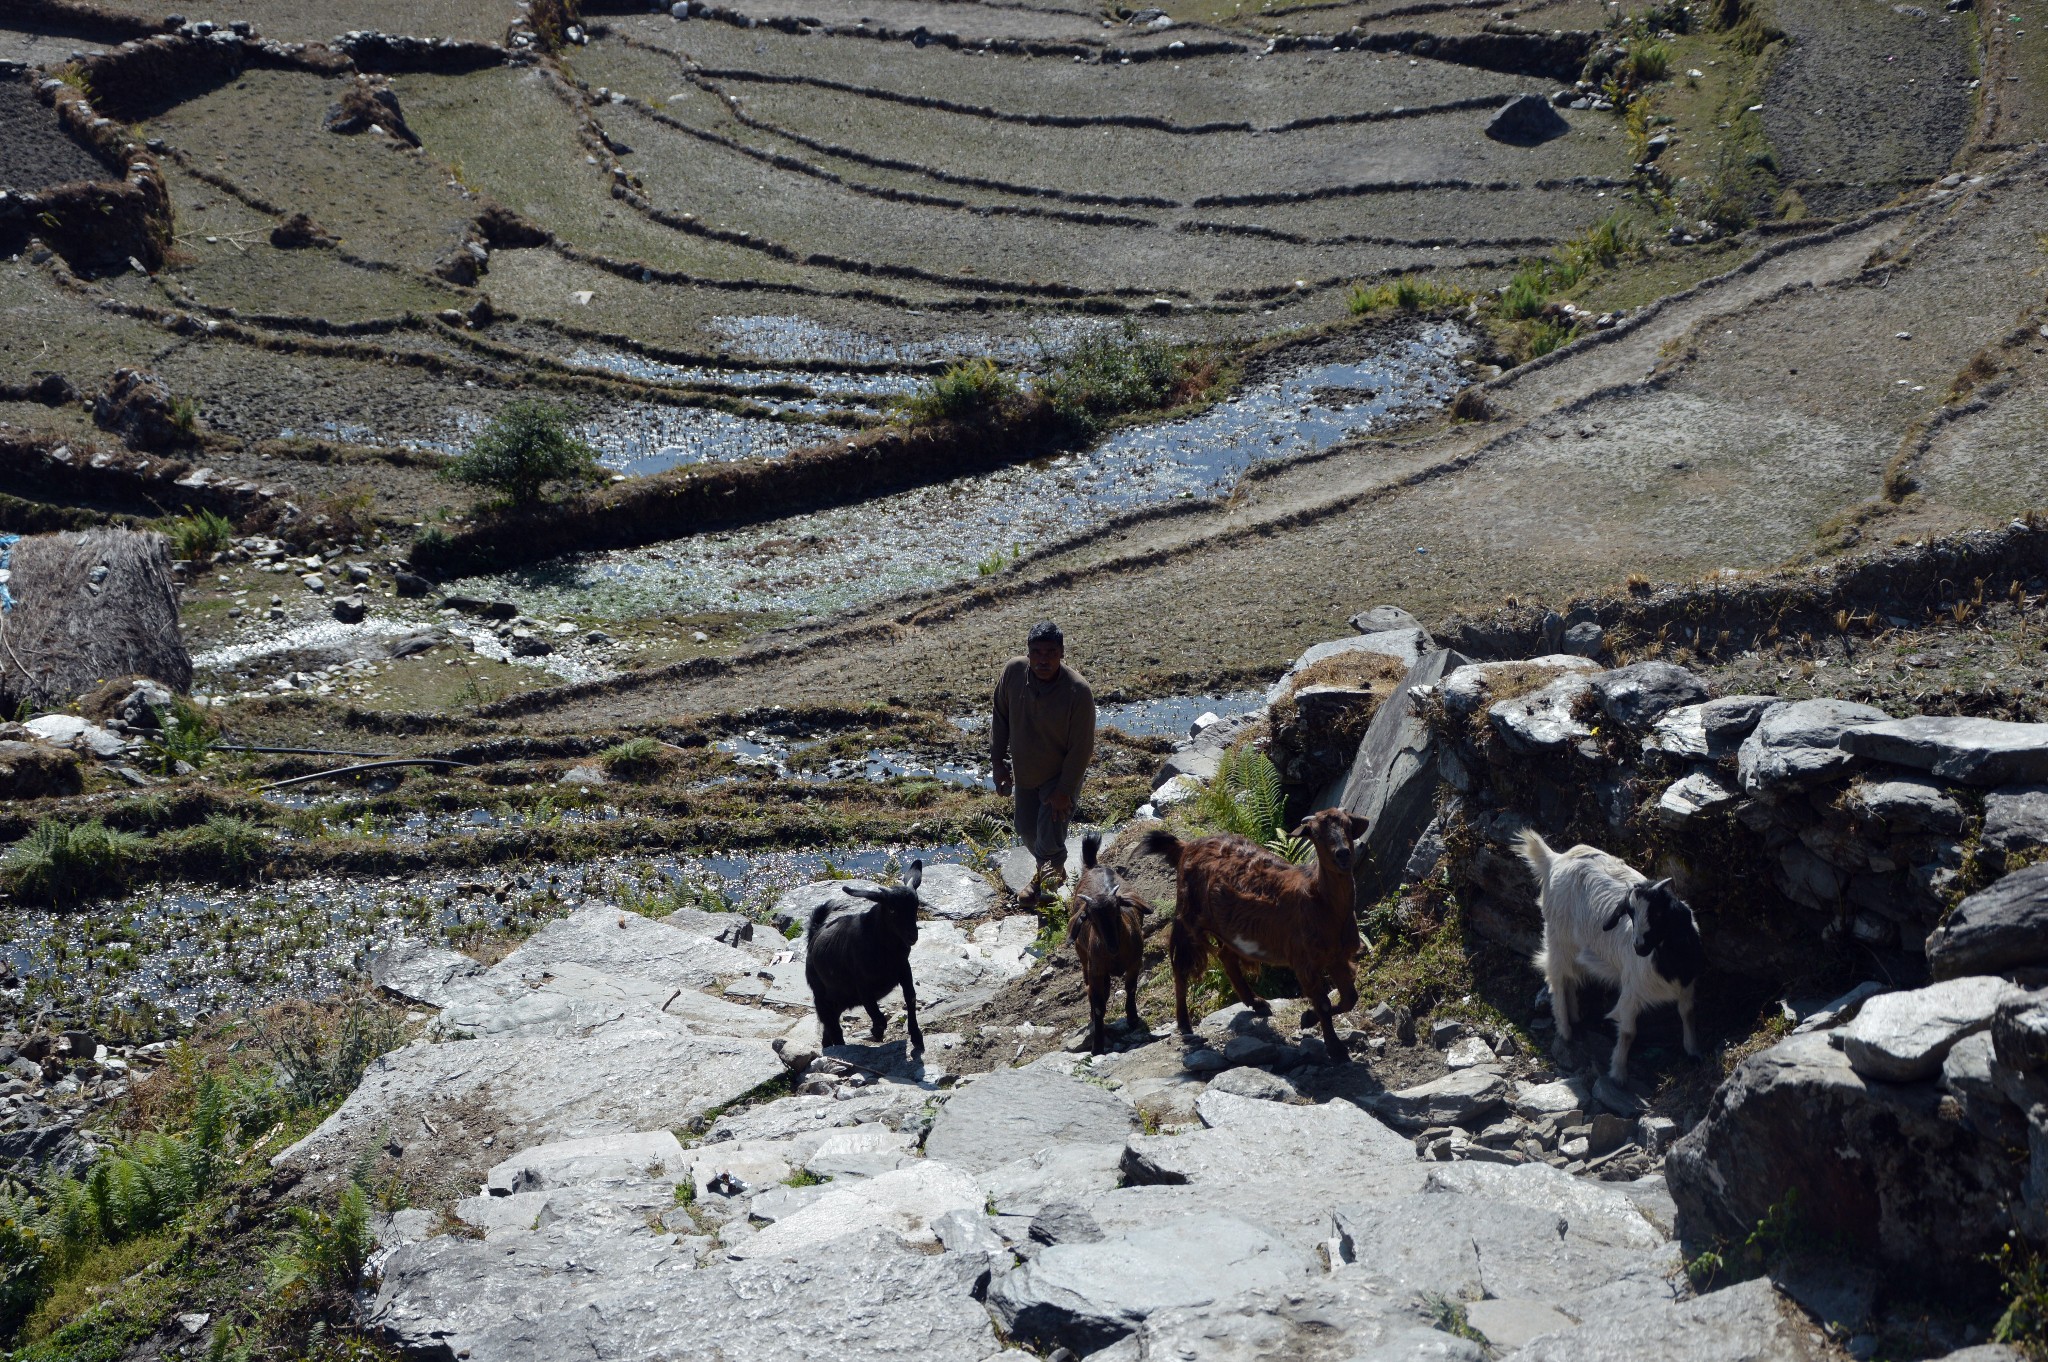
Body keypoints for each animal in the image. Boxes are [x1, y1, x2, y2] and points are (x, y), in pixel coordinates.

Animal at [802, 860, 925, 1048]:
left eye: (916, 906)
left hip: (840, 998)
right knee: (832, 1025)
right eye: (892, 910)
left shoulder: (904, 969)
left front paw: (916, 1036)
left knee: (829, 1027)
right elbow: (878, 1016)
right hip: (822, 994)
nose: (912, 936)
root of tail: (814, 934)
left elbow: (910, 998)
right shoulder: (863, 985)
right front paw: (876, 1032)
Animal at [1073, 827, 1155, 1048]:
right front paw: (1097, 1045)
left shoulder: (1135, 962)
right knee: (1091, 988)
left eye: (1118, 910)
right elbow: (1099, 1005)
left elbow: (1131, 987)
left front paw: (1133, 1018)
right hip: (1084, 958)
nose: (1112, 946)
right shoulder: (1096, 970)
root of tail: (1094, 865)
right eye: (1090, 918)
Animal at [1146, 806, 1368, 1065]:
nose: (1342, 854)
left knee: (1226, 957)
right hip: (1188, 915)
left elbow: (1350, 998)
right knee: (1181, 966)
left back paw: (1256, 1003)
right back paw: (1184, 1023)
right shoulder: (1304, 961)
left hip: (1225, 929)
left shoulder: (1338, 957)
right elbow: (1323, 1003)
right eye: (1315, 834)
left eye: (1348, 827)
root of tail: (1186, 846)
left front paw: (1307, 1018)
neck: (1320, 902)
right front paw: (1336, 1048)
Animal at [1515, 827, 1703, 1081]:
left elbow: (1688, 1012)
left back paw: (1576, 1018)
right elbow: (1628, 1032)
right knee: (1557, 979)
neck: (1668, 961)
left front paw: (1693, 1051)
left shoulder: (1687, 984)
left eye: (1657, 913)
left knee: (1570, 977)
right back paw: (1565, 1030)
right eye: (1630, 914)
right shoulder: (1631, 990)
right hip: (1557, 937)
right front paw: (1618, 1073)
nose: (1639, 947)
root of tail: (1554, 859)